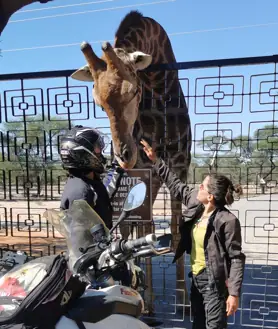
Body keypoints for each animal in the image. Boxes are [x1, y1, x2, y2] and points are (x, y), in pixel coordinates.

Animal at [71, 9, 191, 312]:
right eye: (99, 103)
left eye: (134, 91)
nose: (124, 155)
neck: (160, 87)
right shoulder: (144, 171)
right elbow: (141, 230)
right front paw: (147, 301)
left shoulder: (180, 165)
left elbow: (174, 230)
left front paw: (183, 301)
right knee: (130, 227)